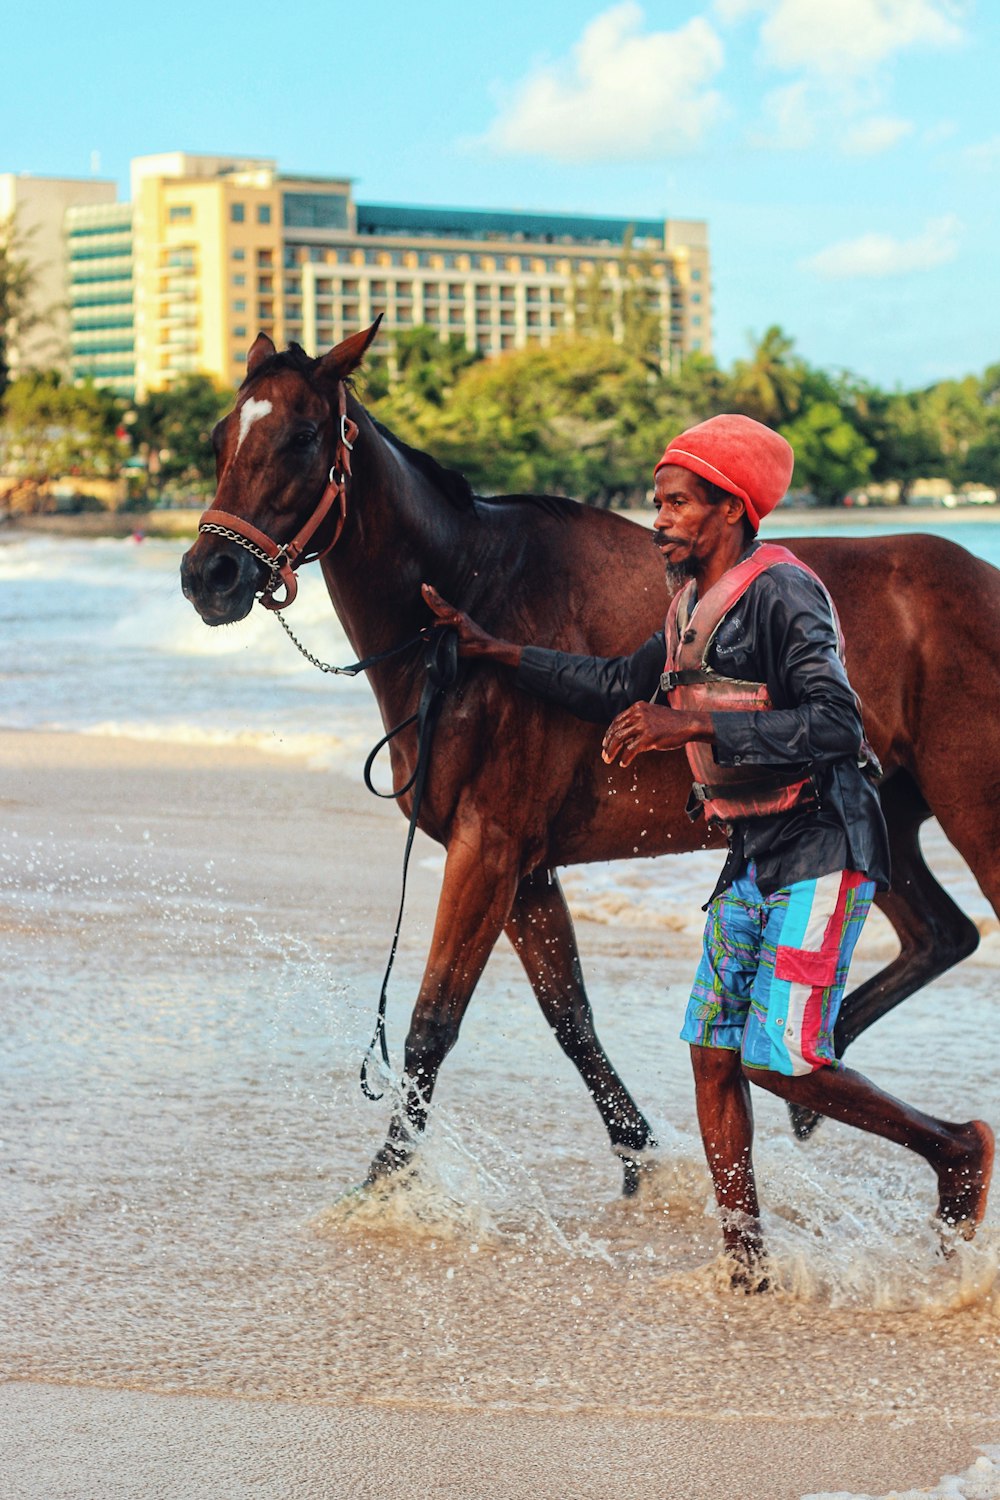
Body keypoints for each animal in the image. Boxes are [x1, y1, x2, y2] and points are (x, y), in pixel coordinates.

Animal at [179, 328, 1000, 1194]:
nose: (208, 575)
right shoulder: (525, 866)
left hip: (973, 810)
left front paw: (382, 1186)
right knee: (941, 936)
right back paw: (824, 1088)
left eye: (303, 437)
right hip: (884, 820)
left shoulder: (489, 848)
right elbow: (568, 1015)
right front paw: (638, 1151)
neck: (473, 593)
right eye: (219, 439)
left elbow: (432, 1022)